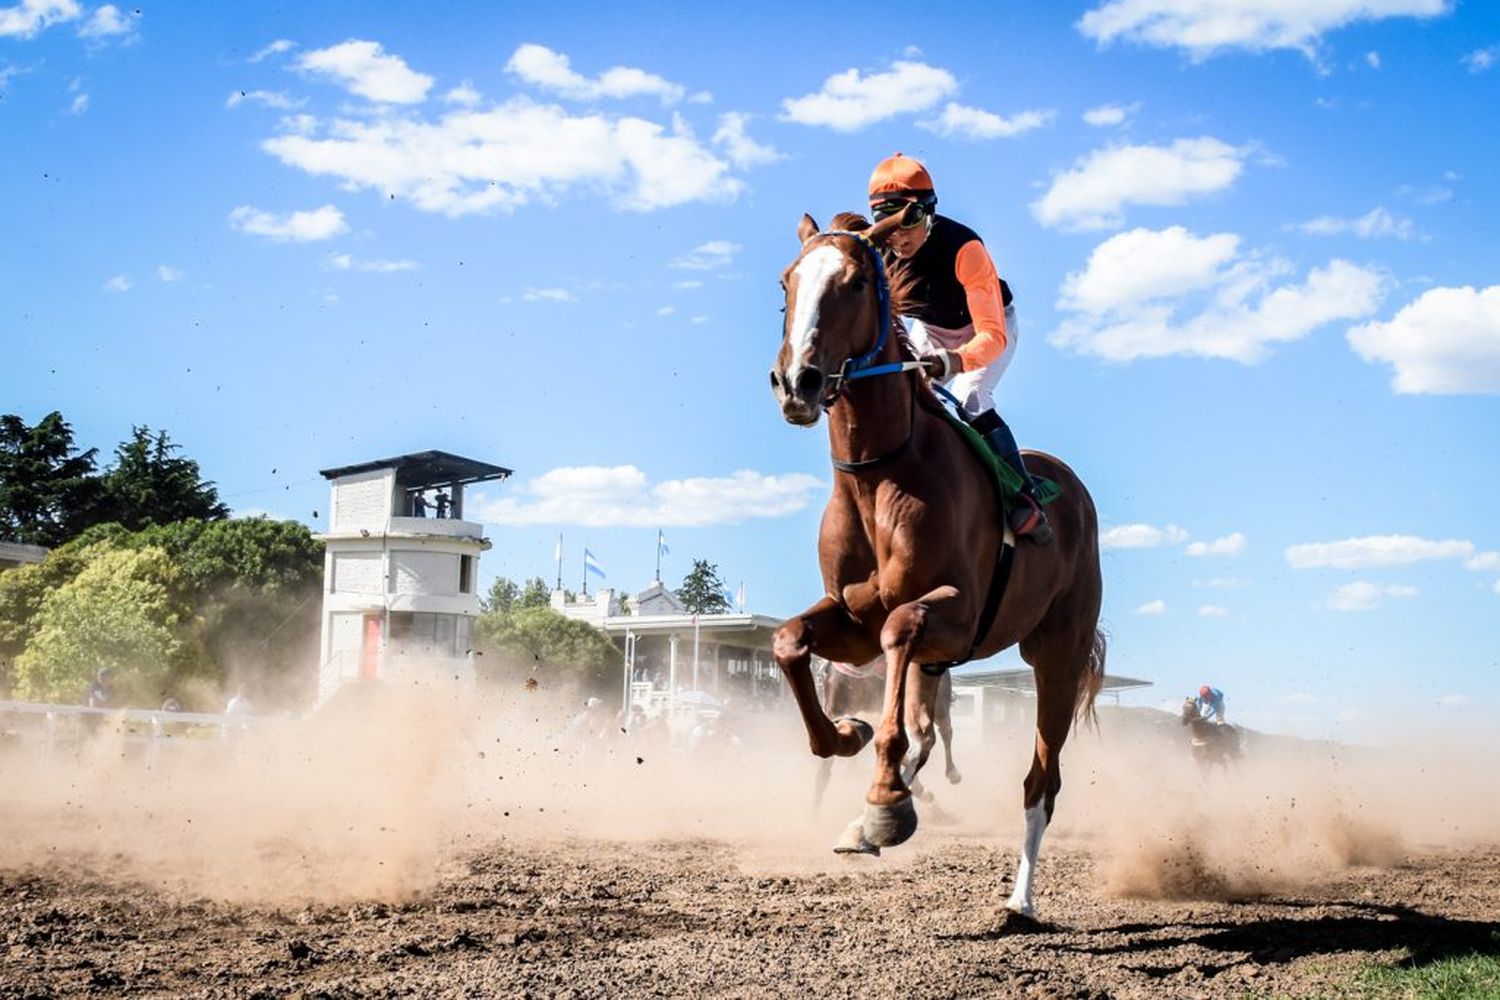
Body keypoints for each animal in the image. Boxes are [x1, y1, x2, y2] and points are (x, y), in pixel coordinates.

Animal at [774, 211, 1104, 923]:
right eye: (787, 283)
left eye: (852, 282)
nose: (798, 381)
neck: (878, 477)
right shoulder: (852, 620)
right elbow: (790, 641)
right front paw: (845, 737)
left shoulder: (954, 614)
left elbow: (901, 627)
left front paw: (883, 802)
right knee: (927, 727)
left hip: (1056, 655)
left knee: (1041, 780)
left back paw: (1020, 899)